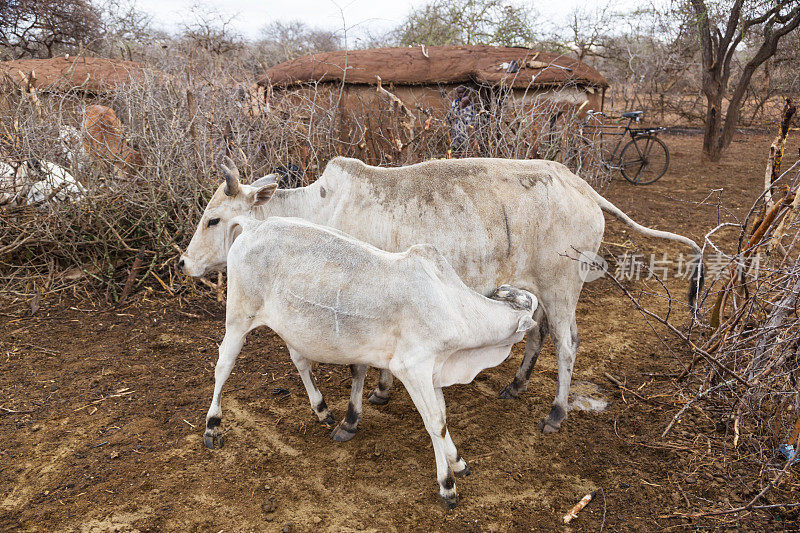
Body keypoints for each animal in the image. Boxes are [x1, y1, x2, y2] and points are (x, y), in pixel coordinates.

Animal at [180, 156, 700, 434]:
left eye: (213, 219)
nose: (184, 264)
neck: (322, 210)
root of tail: (582, 186)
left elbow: (357, 367)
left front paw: (353, 415)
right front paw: (382, 393)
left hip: (562, 287)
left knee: (568, 343)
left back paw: (555, 414)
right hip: (536, 287)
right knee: (539, 334)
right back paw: (515, 386)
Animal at [200, 209, 536, 508]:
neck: (453, 306)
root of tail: (256, 224)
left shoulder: (434, 371)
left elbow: (441, 419)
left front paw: (457, 461)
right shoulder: (412, 368)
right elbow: (433, 422)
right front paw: (447, 485)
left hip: (292, 325)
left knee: (299, 360)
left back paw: (322, 410)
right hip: (239, 317)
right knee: (223, 365)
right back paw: (213, 425)